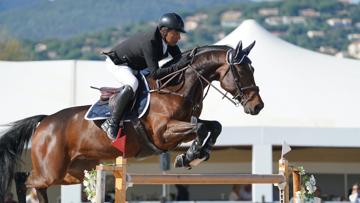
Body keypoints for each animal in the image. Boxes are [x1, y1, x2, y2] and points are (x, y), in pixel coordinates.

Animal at [0, 40, 262, 202]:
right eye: (242, 72)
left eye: (253, 69)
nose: (257, 106)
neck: (176, 88)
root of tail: (44, 122)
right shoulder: (163, 133)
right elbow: (199, 127)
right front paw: (190, 155)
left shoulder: (182, 125)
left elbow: (213, 125)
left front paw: (197, 154)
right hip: (51, 170)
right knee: (24, 179)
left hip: (73, 172)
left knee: (35, 184)